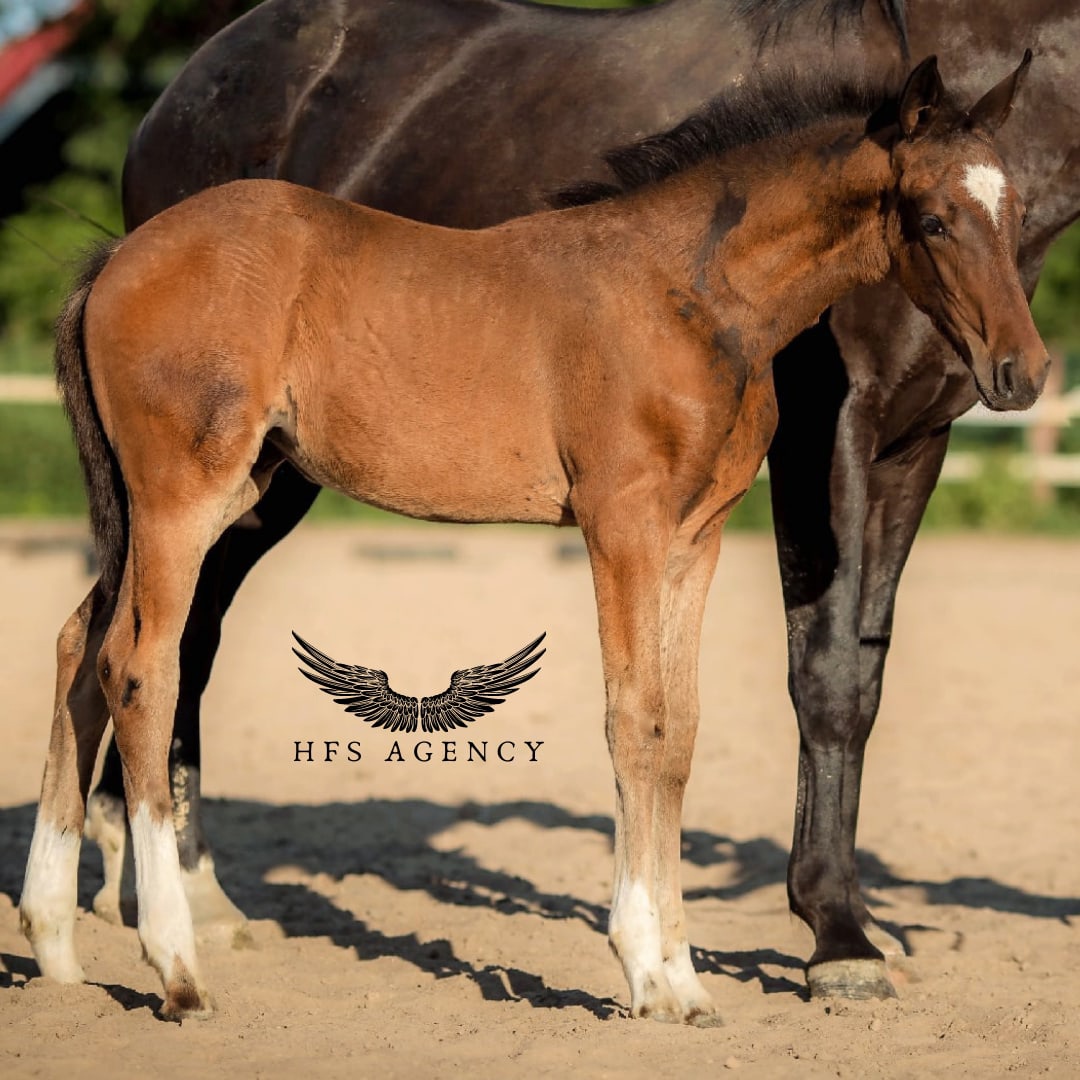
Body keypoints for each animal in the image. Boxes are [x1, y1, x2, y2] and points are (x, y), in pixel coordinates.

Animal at [93, 0, 1080, 1003]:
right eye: (931, 219)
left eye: (1018, 213)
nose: (1021, 369)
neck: (685, 290)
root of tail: (120, 255)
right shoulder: (661, 510)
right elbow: (666, 710)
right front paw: (720, 957)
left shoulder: (717, 525)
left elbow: (685, 726)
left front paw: (695, 961)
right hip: (194, 497)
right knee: (152, 659)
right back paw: (170, 928)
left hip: (226, 492)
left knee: (99, 640)